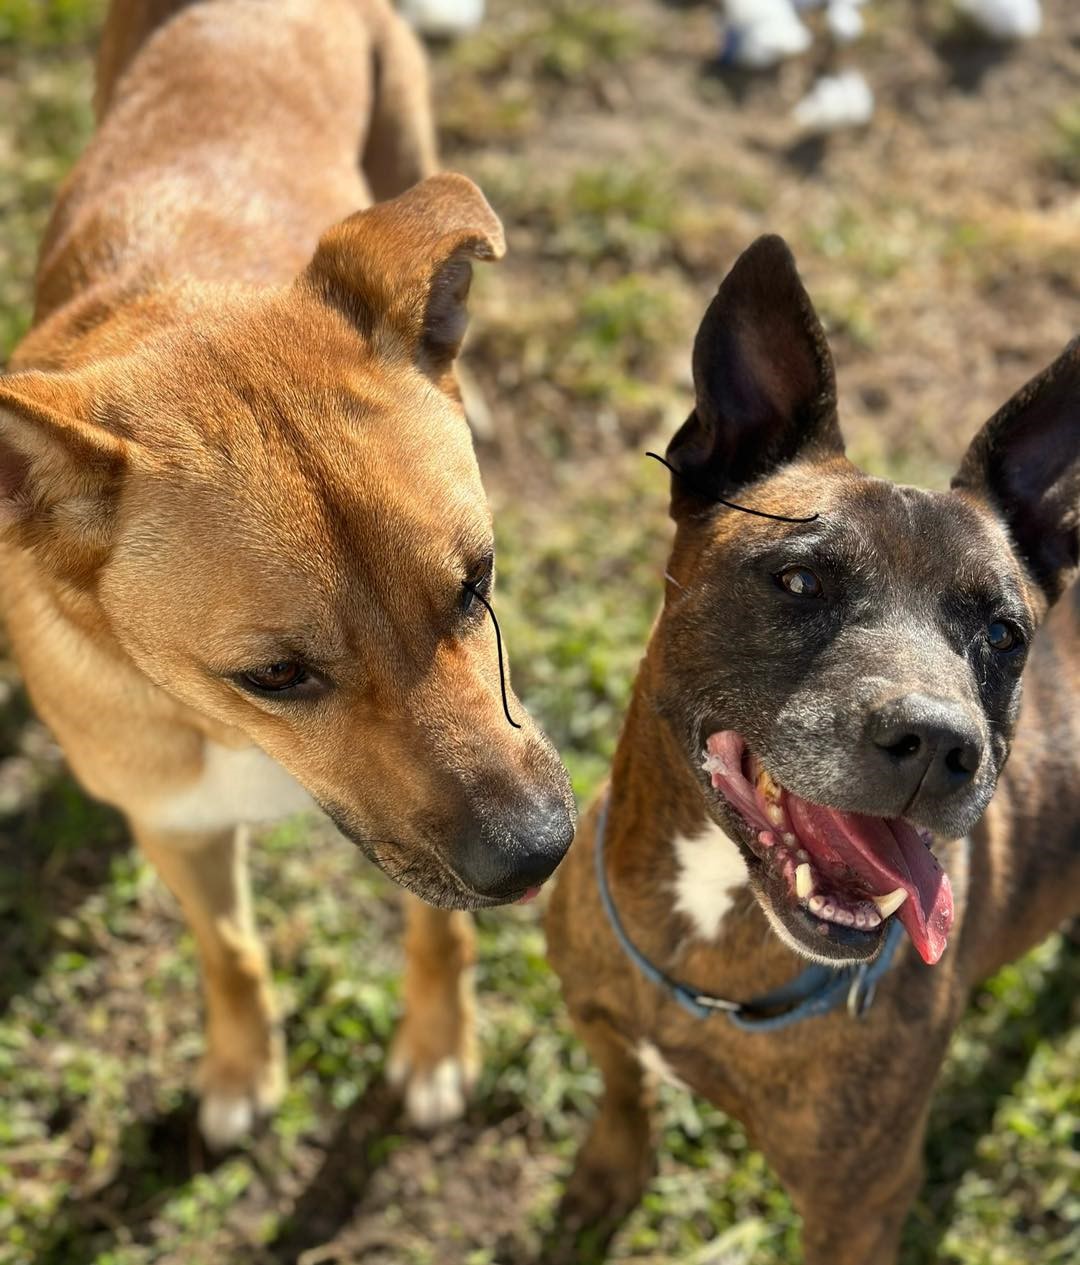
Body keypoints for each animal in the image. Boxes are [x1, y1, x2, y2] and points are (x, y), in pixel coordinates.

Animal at [0, 0, 574, 1148]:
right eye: (274, 674)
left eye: (477, 581)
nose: (540, 853)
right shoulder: (174, 822)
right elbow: (230, 951)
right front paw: (238, 1067)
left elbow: (437, 931)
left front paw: (438, 1045)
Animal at [548, 235, 1080, 1265]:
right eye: (799, 580)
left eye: (1003, 634)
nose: (939, 742)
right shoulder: (595, 1014)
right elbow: (624, 1095)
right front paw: (605, 1175)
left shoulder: (858, 1206)